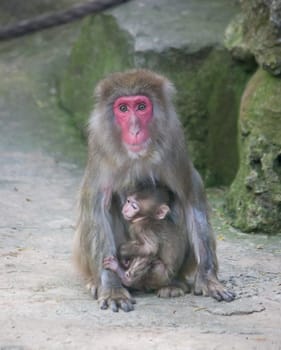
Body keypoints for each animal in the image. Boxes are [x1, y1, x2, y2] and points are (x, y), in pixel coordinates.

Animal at [74, 69, 234, 312]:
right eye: (123, 108)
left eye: (141, 106)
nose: (134, 130)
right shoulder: (100, 152)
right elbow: (97, 210)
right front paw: (111, 287)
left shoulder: (174, 146)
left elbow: (190, 197)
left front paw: (208, 278)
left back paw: (172, 284)